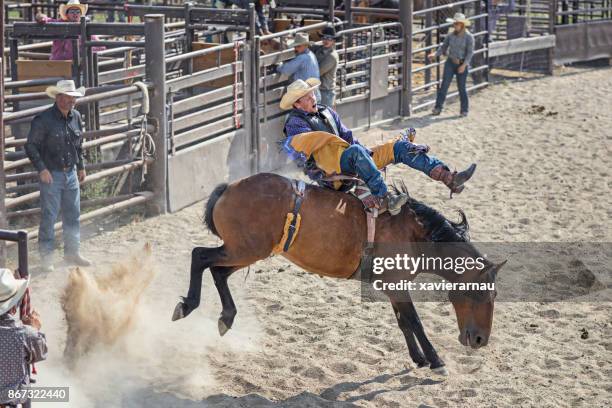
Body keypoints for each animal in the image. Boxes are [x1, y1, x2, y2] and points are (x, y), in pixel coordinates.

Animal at [171, 173, 502, 376]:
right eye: (487, 293)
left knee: (218, 271)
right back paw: (187, 306)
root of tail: (228, 187)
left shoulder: (392, 286)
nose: (480, 340)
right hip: (245, 249)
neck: (414, 231)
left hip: (246, 250)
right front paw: (436, 362)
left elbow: (403, 322)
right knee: (200, 256)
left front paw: (419, 359)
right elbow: (415, 322)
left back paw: (226, 317)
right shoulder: (397, 285)